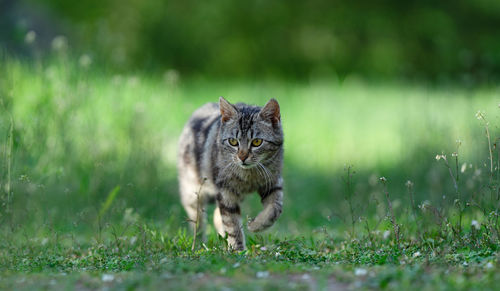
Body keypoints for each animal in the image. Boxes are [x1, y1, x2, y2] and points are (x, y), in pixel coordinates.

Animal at [178, 97, 284, 251]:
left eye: (257, 142)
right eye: (233, 141)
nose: (242, 157)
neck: (250, 175)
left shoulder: (273, 182)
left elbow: (275, 209)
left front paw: (256, 225)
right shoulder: (225, 190)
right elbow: (232, 224)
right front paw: (238, 250)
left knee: (217, 216)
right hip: (193, 191)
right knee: (197, 220)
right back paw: (197, 243)